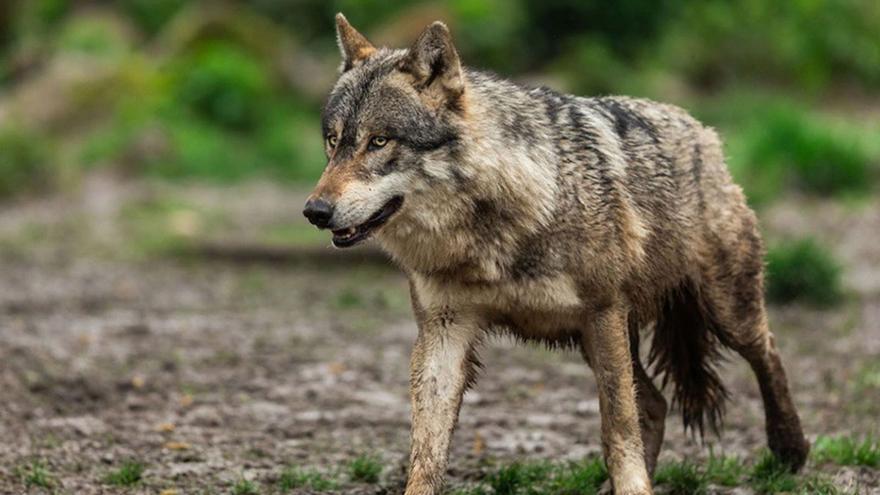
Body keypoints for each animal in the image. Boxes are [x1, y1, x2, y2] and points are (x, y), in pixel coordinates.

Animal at [304, 13, 812, 494]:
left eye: (379, 141)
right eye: (333, 140)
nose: (315, 211)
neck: (493, 229)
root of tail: (702, 131)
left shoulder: (602, 312)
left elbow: (617, 426)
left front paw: (634, 487)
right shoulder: (443, 330)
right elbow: (427, 445)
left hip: (721, 313)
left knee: (767, 351)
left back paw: (790, 448)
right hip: (597, 339)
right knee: (655, 401)